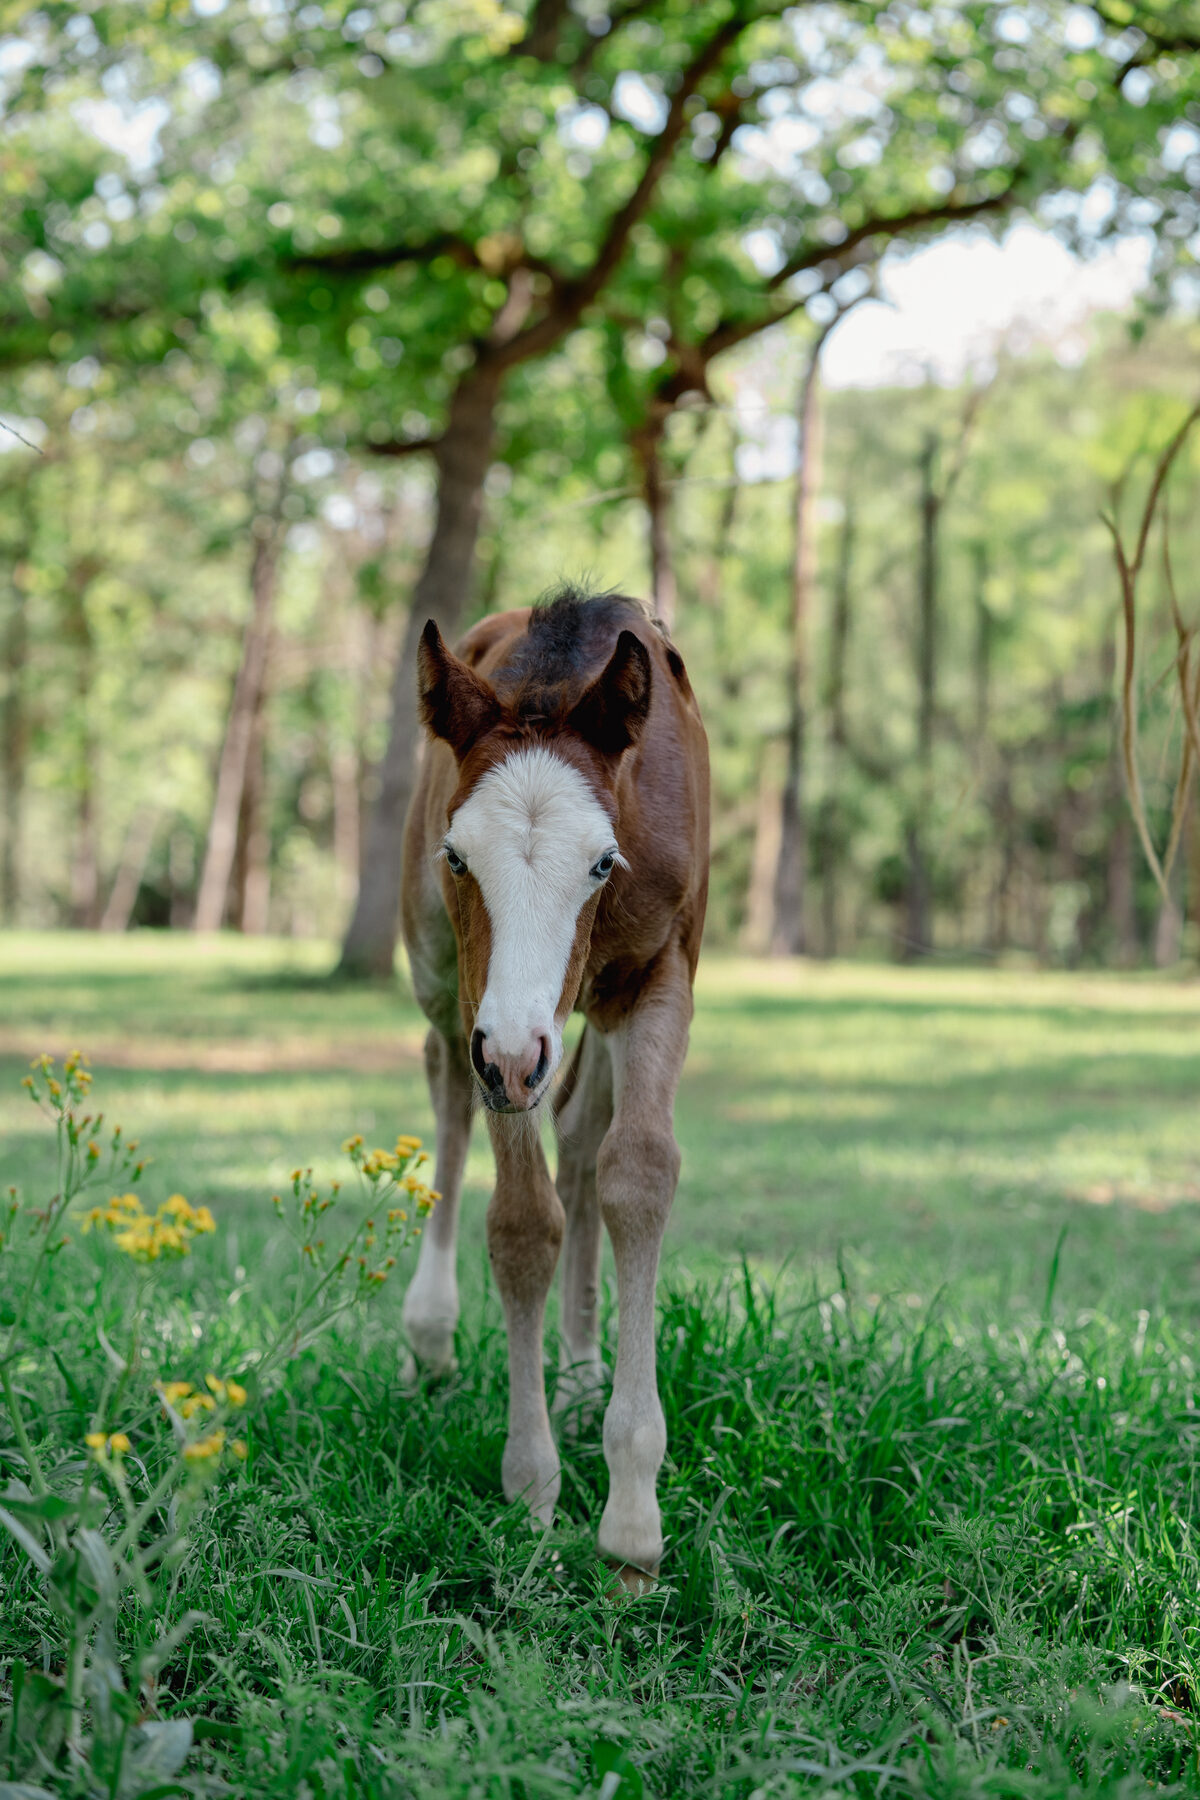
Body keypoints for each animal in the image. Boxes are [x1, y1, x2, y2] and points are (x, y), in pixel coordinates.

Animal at [398, 586, 709, 1584]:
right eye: (459, 857)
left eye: (602, 862)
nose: (509, 1059)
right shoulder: (484, 1002)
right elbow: (523, 1222)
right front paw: (532, 1486)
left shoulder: (659, 972)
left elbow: (636, 1173)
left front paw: (632, 1524)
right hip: (449, 982)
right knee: (451, 1097)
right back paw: (432, 1332)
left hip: (588, 1008)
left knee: (579, 1131)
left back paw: (578, 1378)